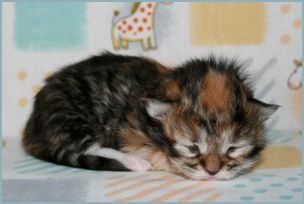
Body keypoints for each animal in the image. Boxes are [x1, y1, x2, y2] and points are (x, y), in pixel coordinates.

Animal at [22, 52, 278, 180]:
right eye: (192, 148)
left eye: (233, 149)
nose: (213, 172)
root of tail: (31, 129)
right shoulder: (129, 130)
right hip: (72, 117)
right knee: (88, 146)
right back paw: (135, 163)